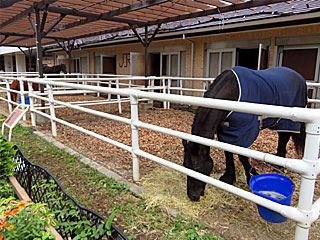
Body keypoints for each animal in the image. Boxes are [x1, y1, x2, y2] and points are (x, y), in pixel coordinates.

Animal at [182, 65, 308, 201]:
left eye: (196, 168)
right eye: (185, 165)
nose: (192, 196)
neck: (232, 94)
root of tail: (299, 77)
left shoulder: (244, 131)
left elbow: (242, 156)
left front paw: (251, 176)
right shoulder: (226, 130)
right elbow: (228, 152)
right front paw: (229, 177)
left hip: (288, 121)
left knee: (284, 138)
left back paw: (279, 166)